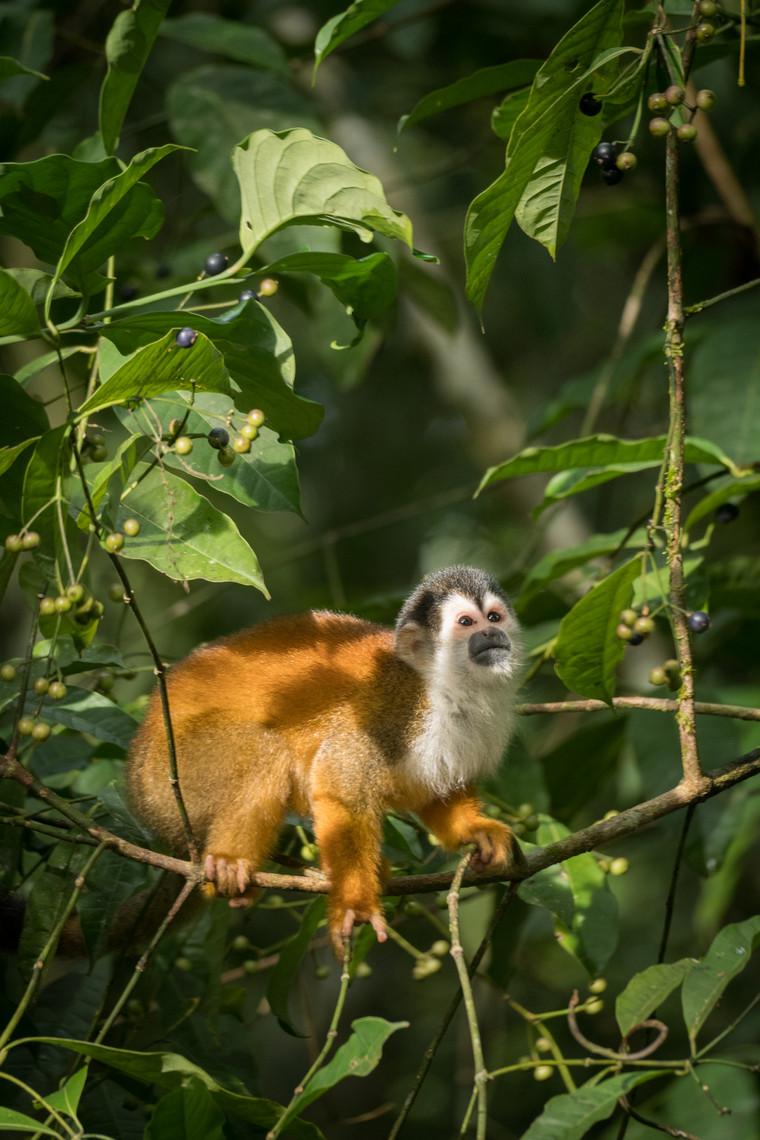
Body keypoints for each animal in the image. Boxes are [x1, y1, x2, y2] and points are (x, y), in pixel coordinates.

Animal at [127, 566, 524, 953]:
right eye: (466, 623)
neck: (445, 686)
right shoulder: (394, 708)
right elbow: (341, 787)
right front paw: (355, 905)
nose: (491, 633)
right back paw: (228, 862)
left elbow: (436, 789)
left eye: (494, 616)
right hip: (172, 774)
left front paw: (474, 830)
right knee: (265, 752)